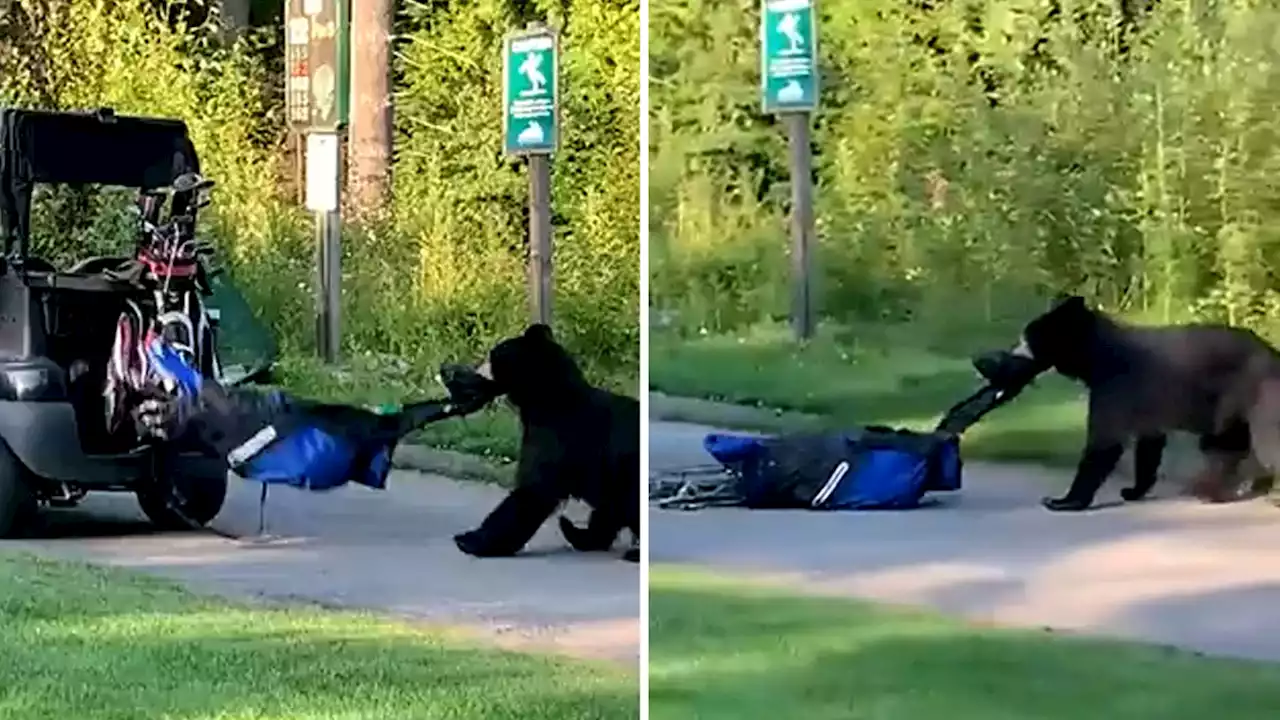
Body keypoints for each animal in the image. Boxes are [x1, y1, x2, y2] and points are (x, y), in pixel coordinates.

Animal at [455, 324, 645, 561]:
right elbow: (606, 509)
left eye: (492, 356)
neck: (547, 398)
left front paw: (469, 540)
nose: (474, 368)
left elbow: (534, 490)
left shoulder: (556, 435)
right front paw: (581, 534)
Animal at [1008, 294, 1280, 507]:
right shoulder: (1144, 400)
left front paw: (1063, 500)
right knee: (1224, 446)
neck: (1097, 357)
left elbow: (1104, 442)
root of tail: (1272, 353)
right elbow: (1149, 445)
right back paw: (1214, 491)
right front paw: (1134, 490)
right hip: (1228, 410)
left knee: (1264, 442)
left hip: (1256, 395)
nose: (1012, 351)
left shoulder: (1117, 387)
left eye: (1026, 338)